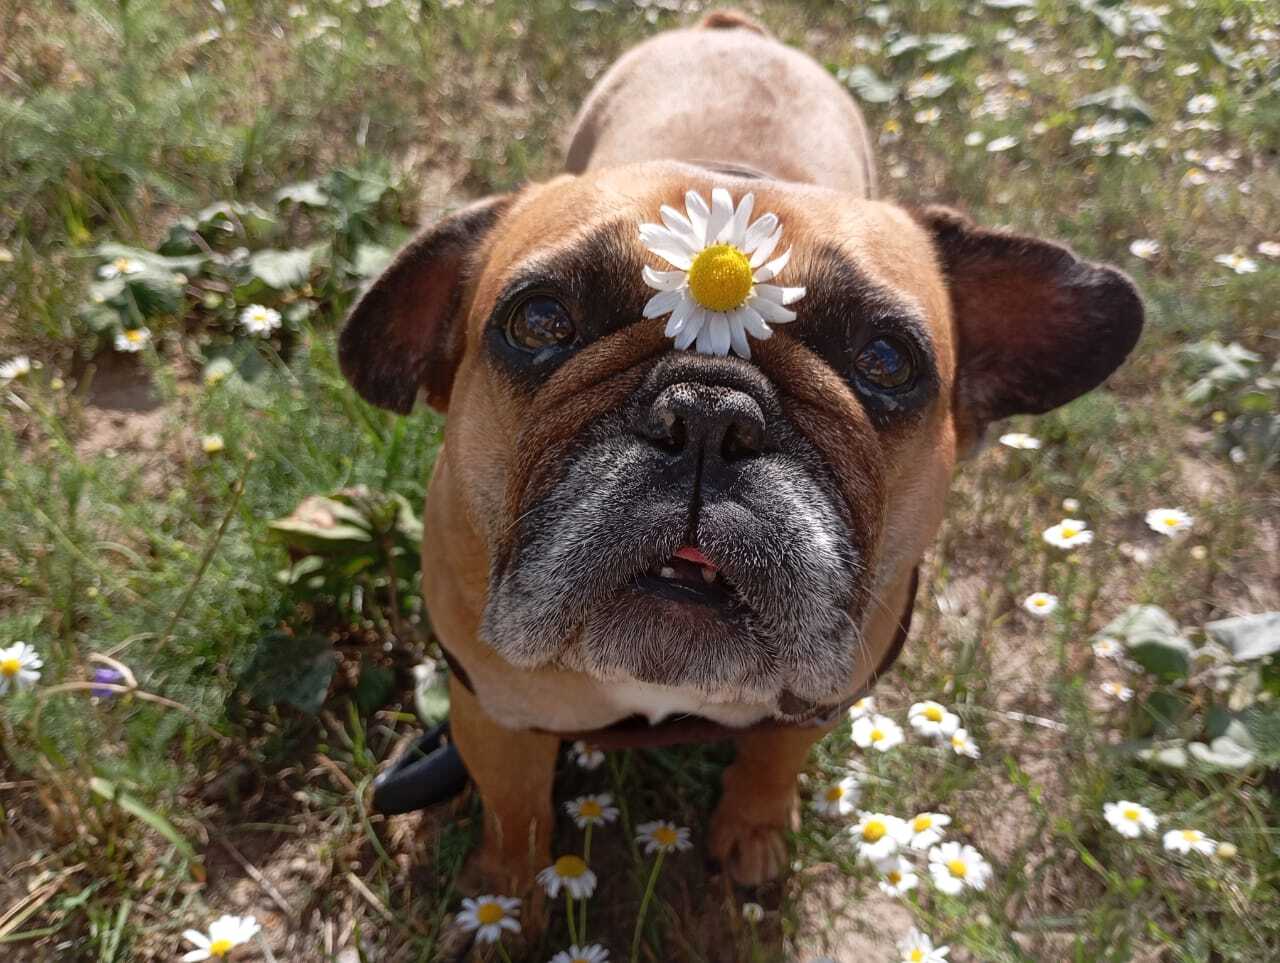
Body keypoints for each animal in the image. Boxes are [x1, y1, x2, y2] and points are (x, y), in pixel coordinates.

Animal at [335, 9, 1146, 896]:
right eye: (541, 320)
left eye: (886, 360)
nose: (708, 411)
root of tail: (732, 25)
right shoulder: (494, 714)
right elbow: (517, 814)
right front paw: (507, 895)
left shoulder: (818, 699)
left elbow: (772, 761)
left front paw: (754, 834)